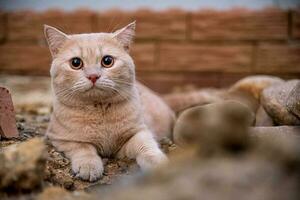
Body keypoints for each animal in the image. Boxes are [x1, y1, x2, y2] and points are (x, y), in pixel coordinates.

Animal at [44, 21, 176, 181]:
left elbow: (146, 145)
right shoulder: (61, 139)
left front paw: (157, 162)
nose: (93, 76)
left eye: (107, 61)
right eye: (76, 63)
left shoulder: (138, 132)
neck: (100, 110)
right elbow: (83, 148)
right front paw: (89, 166)